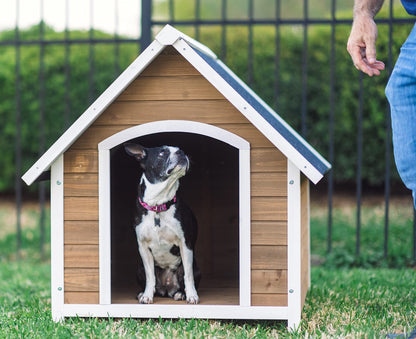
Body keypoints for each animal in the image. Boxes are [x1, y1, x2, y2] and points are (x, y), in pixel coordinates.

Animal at [124, 143, 201, 306]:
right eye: (162, 153)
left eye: (180, 149)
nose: (181, 152)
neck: (158, 205)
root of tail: (167, 289)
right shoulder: (143, 247)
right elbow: (150, 276)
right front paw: (147, 296)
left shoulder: (185, 244)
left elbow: (188, 275)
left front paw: (192, 295)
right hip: (139, 269)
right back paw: (142, 293)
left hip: (195, 268)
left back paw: (180, 294)